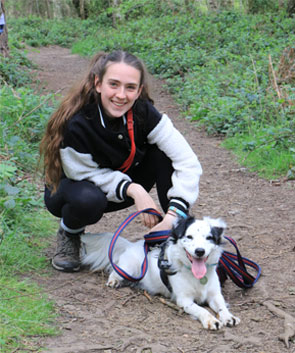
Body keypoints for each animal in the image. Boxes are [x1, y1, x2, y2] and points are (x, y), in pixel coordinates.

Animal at [81, 214, 240, 330]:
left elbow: (221, 305)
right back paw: (114, 281)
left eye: (209, 238)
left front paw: (228, 317)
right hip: (129, 268)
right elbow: (201, 309)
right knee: (116, 271)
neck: (196, 276)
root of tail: (132, 245)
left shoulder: (215, 294)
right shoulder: (184, 300)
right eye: (189, 237)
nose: (199, 251)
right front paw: (211, 320)